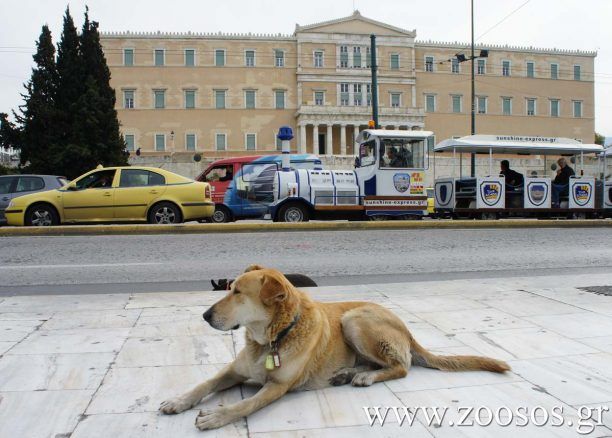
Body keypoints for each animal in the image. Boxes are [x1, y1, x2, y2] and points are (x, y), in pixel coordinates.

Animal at [160, 266, 510, 430]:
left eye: (237, 293)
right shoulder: (234, 370)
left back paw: (364, 377)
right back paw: (347, 374)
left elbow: (245, 404)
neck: (272, 338)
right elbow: (203, 384)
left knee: (400, 367)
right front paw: (178, 401)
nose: (205, 315)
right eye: (228, 288)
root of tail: (407, 330)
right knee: (380, 363)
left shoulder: (278, 386)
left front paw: (217, 416)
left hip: (354, 319)